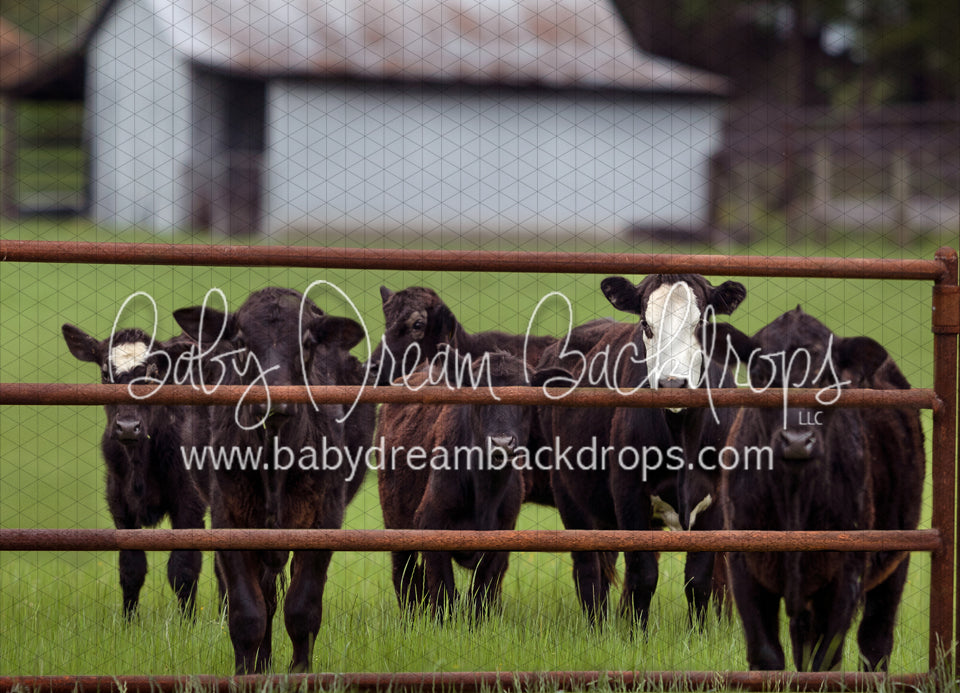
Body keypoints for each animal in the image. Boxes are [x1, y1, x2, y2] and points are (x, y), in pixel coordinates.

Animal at [62, 324, 206, 619]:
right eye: (106, 374)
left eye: (154, 373)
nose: (128, 427)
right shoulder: (119, 502)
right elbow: (131, 568)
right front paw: (128, 623)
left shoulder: (190, 501)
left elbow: (183, 568)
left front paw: (188, 624)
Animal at [173, 287, 375, 674]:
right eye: (240, 342)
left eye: (307, 342)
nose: (274, 401)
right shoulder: (229, 520)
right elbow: (247, 611)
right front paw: (246, 672)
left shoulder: (324, 520)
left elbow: (302, 608)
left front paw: (300, 672)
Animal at [377, 348, 569, 618]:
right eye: (478, 390)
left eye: (526, 391)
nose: (501, 442)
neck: (485, 492)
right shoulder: (430, 524)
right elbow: (444, 592)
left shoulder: (503, 534)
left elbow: (482, 593)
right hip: (395, 522)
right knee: (405, 575)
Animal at [537, 274, 746, 629]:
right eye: (646, 324)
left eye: (701, 322)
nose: (673, 384)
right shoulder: (630, 494)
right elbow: (643, 575)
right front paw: (636, 634)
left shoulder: (716, 500)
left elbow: (698, 579)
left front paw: (697, 634)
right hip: (569, 494)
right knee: (589, 571)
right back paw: (597, 628)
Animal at [711, 307, 924, 671]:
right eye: (761, 374)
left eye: (827, 378)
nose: (797, 440)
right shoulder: (744, 564)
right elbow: (767, 654)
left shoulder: (845, 573)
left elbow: (825, 659)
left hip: (896, 560)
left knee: (875, 640)